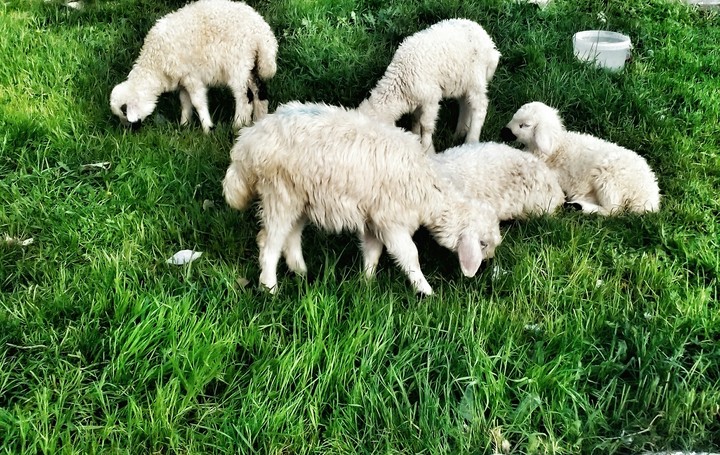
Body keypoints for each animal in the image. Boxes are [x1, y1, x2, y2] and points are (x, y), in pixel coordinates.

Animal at [110, 0, 278, 133]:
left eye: (125, 114)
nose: (130, 131)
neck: (155, 65)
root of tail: (262, 34)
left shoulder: (192, 77)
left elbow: (198, 102)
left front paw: (207, 128)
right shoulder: (183, 81)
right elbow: (185, 103)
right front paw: (184, 125)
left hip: (238, 64)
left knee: (244, 97)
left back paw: (238, 125)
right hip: (252, 64)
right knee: (260, 92)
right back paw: (258, 121)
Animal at [222, 102, 502, 295]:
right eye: (483, 244)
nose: (487, 262)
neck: (429, 190)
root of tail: (247, 142)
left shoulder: (373, 219)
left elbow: (373, 252)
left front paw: (366, 283)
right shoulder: (391, 221)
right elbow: (410, 255)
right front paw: (425, 290)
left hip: (300, 197)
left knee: (290, 237)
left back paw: (301, 273)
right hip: (280, 193)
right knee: (269, 243)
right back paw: (270, 288)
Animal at [357, 19, 501, 154]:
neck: (400, 82)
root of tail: (490, 43)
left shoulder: (431, 98)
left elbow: (426, 125)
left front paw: (427, 148)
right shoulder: (417, 101)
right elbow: (415, 119)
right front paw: (415, 137)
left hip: (476, 77)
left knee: (480, 107)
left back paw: (471, 139)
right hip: (462, 81)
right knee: (465, 104)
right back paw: (459, 133)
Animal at [500, 102, 661, 215]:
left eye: (524, 125)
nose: (503, 131)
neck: (556, 148)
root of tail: (649, 193)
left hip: (608, 179)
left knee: (613, 210)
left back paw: (579, 207)